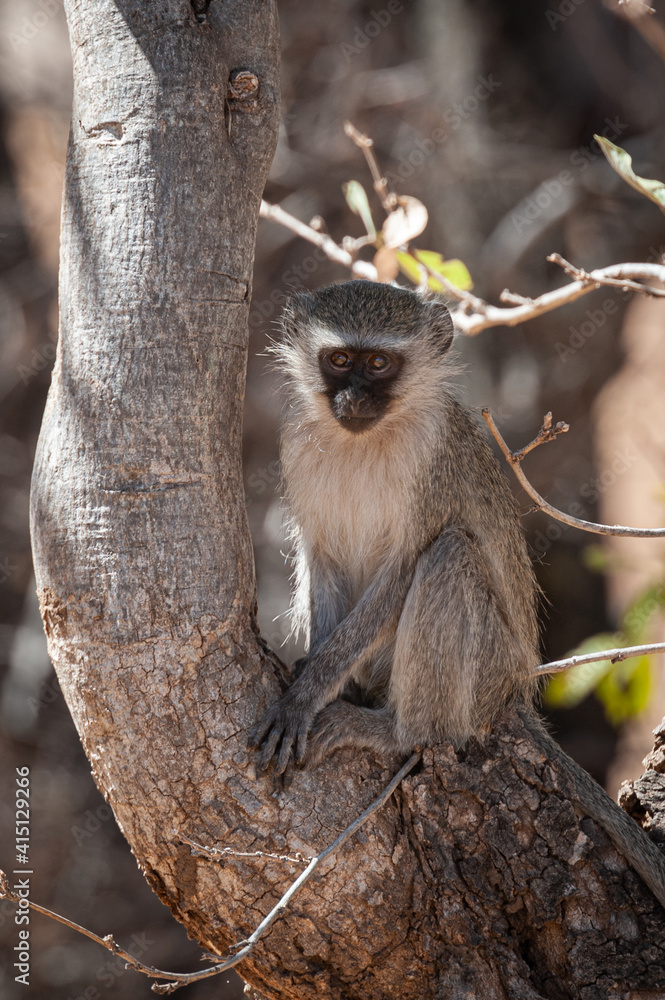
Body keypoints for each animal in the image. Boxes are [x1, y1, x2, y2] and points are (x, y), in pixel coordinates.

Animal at [249, 279, 665, 911]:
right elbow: (321, 557)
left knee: (449, 557)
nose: (353, 399)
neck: (370, 438)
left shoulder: (433, 465)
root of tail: (512, 690)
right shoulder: (297, 446)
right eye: (339, 360)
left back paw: (399, 731)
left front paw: (308, 693)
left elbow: (406, 566)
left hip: (487, 669)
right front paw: (317, 673)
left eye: (379, 364)